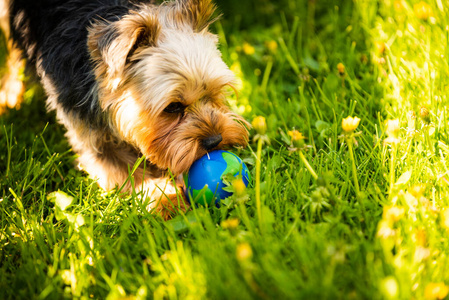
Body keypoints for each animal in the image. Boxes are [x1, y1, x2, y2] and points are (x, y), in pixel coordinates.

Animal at [3, 0, 248, 219]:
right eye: (173, 107)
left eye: (214, 94)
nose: (215, 140)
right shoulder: (91, 137)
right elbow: (130, 171)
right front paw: (166, 199)